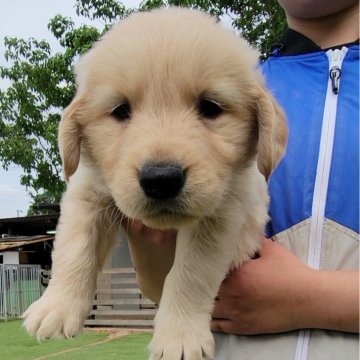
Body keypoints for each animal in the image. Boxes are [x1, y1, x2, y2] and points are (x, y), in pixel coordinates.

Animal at [23, 7, 286, 358]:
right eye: (121, 110)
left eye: (210, 107)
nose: (161, 179)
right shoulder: (88, 191)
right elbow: (73, 246)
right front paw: (55, 308)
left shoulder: (223, 211)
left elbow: (191, 272)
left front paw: (179, 337)